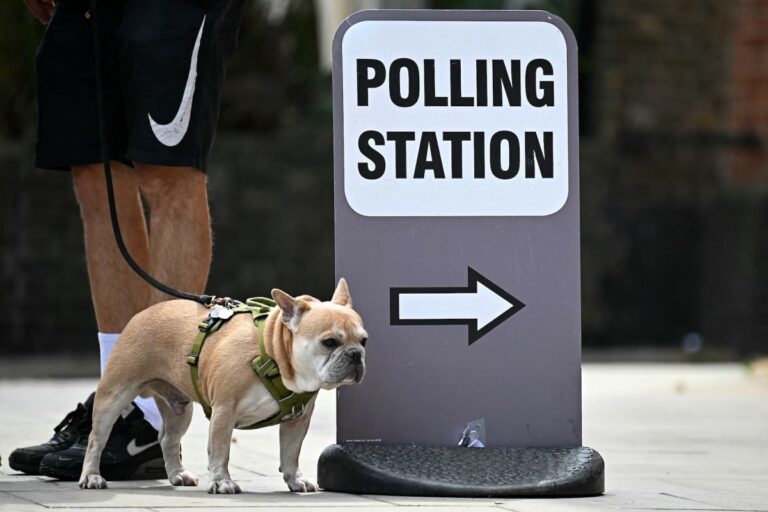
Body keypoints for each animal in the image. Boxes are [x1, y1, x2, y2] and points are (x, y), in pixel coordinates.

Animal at [79, 278, 368, 494]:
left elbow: (290, 452)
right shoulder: (224, 409)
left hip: (179, 408)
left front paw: (295, 479)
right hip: (115, 394)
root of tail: (143, 313)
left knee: (168, 439)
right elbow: (220, 449)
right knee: (97, 438)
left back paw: (177, 474)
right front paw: (222, 481)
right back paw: (91, 477)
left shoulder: (298, 420)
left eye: (363, 340)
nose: (356, 355)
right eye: (329, 342)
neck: (274, 355)